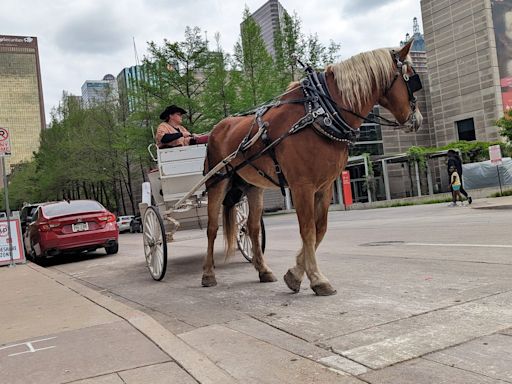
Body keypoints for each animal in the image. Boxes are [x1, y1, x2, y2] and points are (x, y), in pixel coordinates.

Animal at [202, 41, 422, 294]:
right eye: (412, 79)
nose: (418, 120)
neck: (320, 113)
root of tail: (217, 128)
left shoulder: (324, 187)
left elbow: (320, 229)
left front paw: (296, 273)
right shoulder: (302, 187)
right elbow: (307, 230)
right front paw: (317, 278)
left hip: (253, 187)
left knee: (253, 228)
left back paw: (263, 269)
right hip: (216, 182)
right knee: (211, 228)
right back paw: (208, 274)